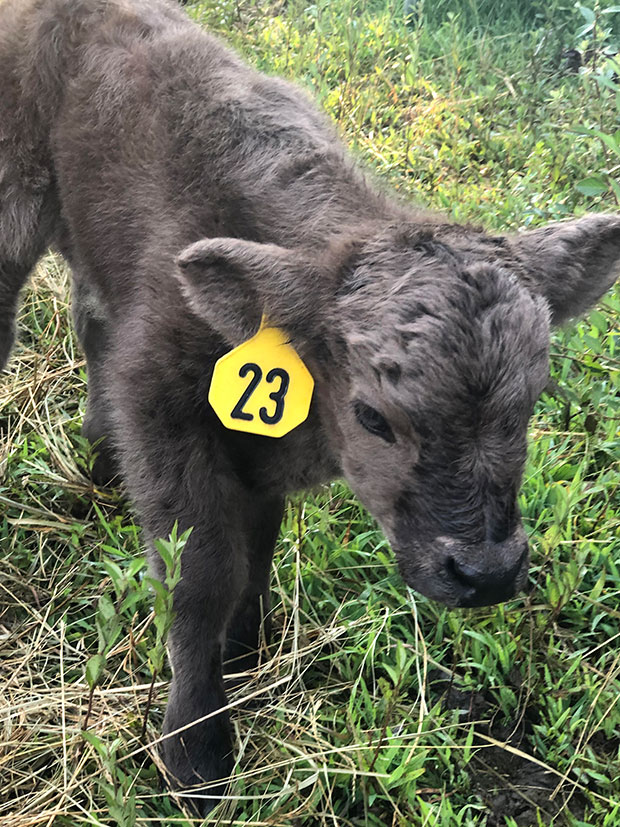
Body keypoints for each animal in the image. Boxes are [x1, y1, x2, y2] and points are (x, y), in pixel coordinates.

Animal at [1, 0, 620, 816]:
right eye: (373, 416)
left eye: (529, 402)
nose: (486, 572)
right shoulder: (161, 412)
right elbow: (201, 576)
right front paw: (195, 752)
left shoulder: (256, 456)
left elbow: (257, 548)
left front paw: (246, 650)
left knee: (90, 314)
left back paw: (102, 463)